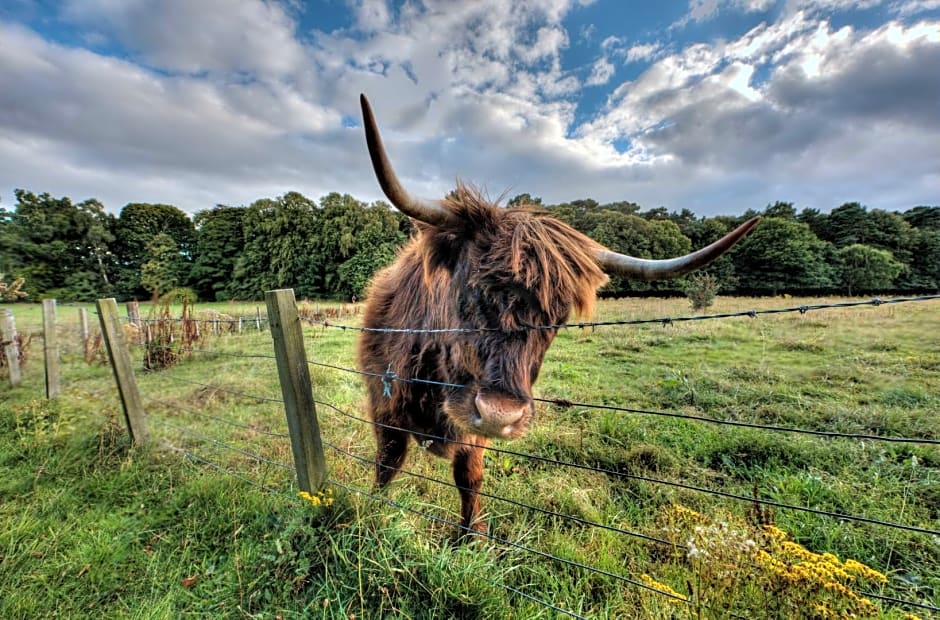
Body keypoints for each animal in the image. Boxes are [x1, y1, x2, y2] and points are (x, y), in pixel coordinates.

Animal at [352, 94, 756, 536]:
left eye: (558, 317)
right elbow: (388, 464)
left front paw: (471, 536)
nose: (499, 415)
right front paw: (372, 513)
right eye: (468, 289)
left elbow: (469, 477)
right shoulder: (385, 405)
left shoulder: (474, 434)